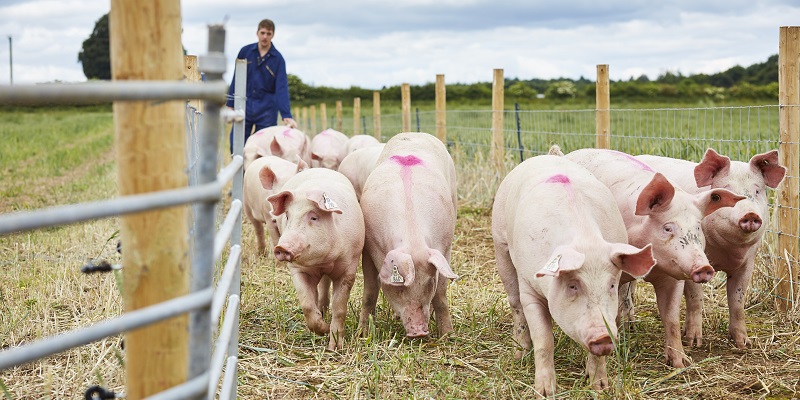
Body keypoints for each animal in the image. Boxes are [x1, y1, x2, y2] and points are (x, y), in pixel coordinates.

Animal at [270, 167, 368, 348]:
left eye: (314, 217)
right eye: (287, 216)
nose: (281, 247)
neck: (324, 260)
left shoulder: (349, 268)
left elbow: (339, 307)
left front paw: (335, 347)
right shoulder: (298, 270)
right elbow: (306, 303)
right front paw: (322, 329)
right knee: (318, 291)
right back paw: (321, 312)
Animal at [360, 133, 460, 340]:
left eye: (429, 282)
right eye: (399, 287)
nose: (419, 331)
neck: (412, 236)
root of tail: (415, 133)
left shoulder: (445, 247)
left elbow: (441, 294)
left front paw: (447, 335)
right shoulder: (368, 248)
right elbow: (370, 292)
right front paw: (362, 334)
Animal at [490, 155, 652, 396]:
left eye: (611, 285)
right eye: (573, 285)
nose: (604, 336)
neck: (585, 241)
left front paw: (599, 387)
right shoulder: (529, 287)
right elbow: (544, 339)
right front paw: (545, 392)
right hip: (500, 245)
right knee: (515, 304)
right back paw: (519, 353)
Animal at [564, 148, 744, 368]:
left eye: (698, 227)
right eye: (667, 228)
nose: (704, 268)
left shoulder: (673, 278)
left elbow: (671, 318)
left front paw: (681, 363)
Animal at [636, 148, 788, 348]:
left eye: (757, 191)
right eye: (728, 191)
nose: (750, 214)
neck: (728, 251)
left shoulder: (748, 263)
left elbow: (737, 301)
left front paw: (744, 344)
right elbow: (695, 298)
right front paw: (693, 342)